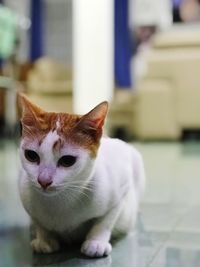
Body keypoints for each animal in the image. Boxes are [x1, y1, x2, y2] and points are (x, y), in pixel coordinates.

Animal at [17, 94, 145, 260]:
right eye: (31, 156)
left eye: (67, 160)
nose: (43, 181)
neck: (59, 202)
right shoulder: (26, 197)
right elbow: (39, 222)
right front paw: (45, 239)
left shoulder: (122, 188)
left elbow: (105, 221)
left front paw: (96, 242)